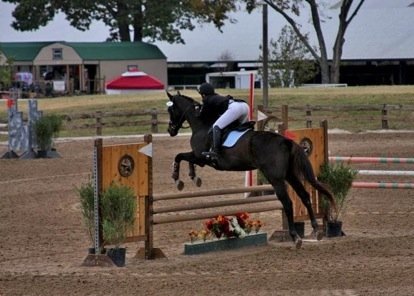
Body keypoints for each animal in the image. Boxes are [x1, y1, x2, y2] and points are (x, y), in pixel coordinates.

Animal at [166, 91, 336, 249]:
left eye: (171, 109)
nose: (170, 131)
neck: (201, 125)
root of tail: (285, 141)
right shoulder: (199, 158)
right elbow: (185, 159)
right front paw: (193, 177)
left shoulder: (201, 158)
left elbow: (179, 156)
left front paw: (177, 178)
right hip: (290, 175)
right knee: (305, 196)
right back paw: (316, 229)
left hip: (275, 178)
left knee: (287, 202)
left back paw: (296, 237)